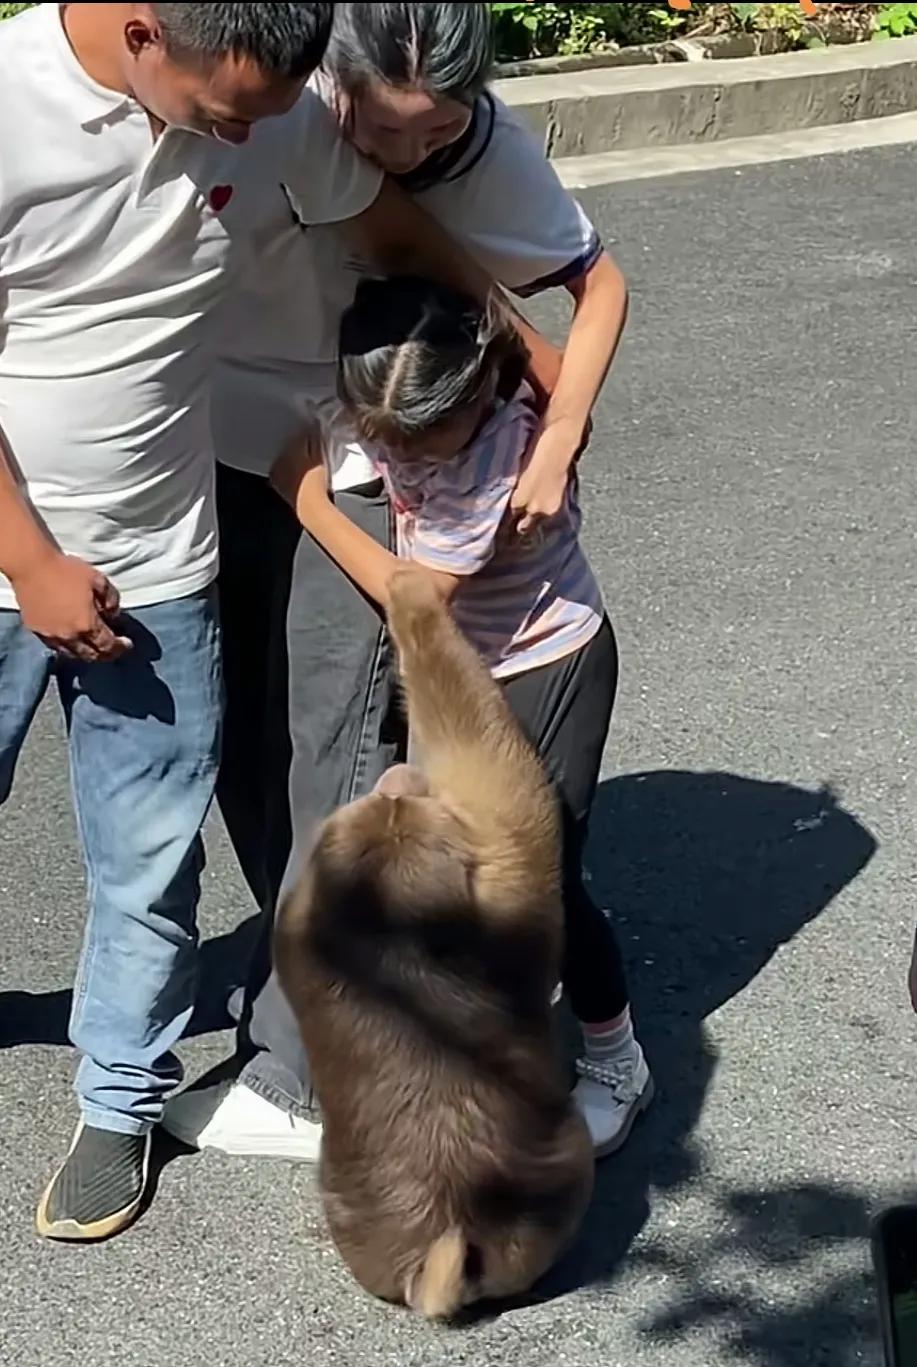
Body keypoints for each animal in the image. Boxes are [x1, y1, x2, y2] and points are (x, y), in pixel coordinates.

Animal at [273, 563, 595, 1312]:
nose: (393, 790)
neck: (397, 940)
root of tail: (446, 1233)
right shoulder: (508, 849)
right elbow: (475, 732)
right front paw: (409, 589)